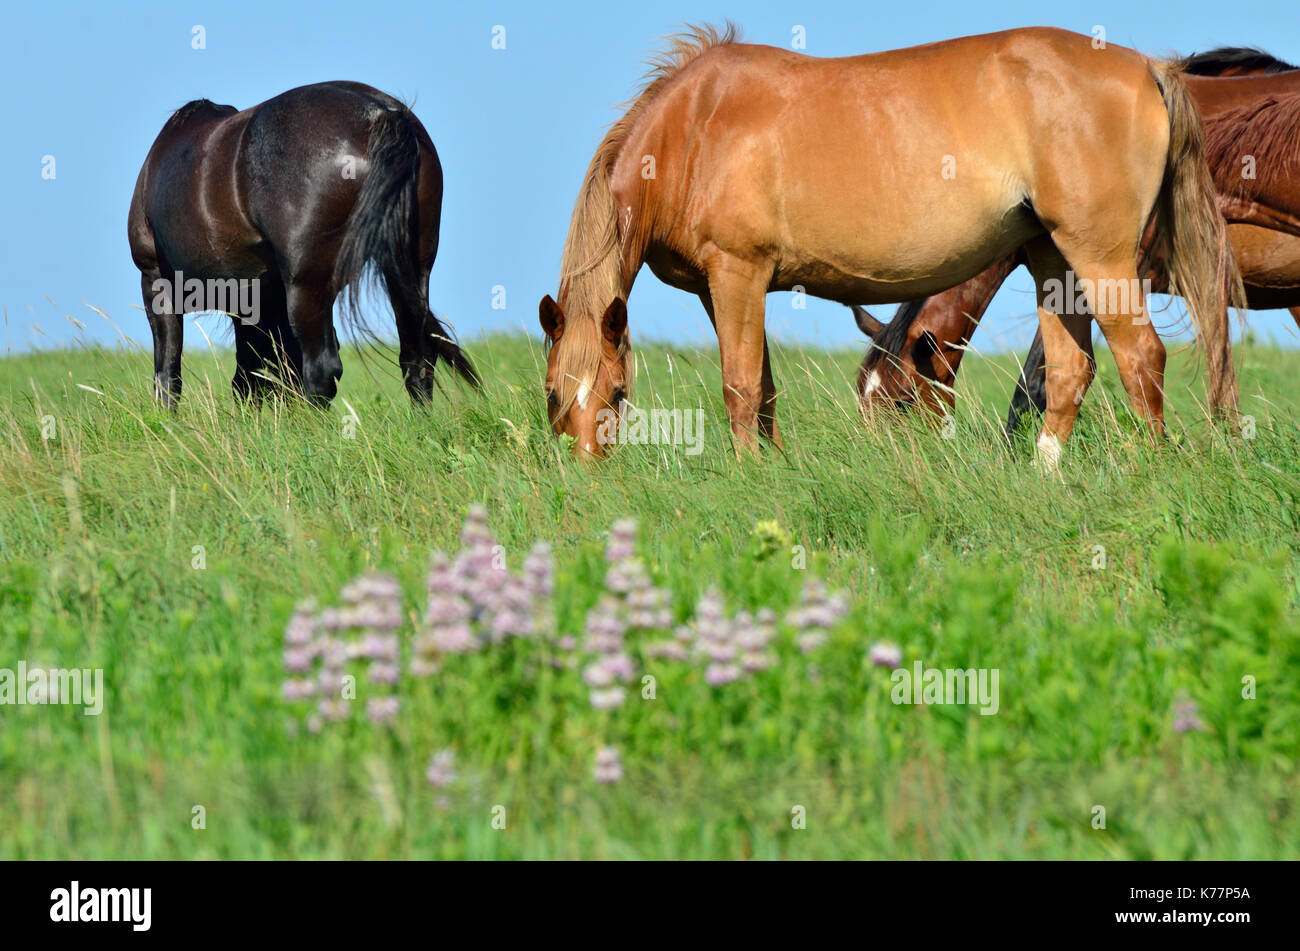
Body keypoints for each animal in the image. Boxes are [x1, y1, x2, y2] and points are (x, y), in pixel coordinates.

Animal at [128, 82, 478, 407]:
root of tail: (379, 114)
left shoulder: (156, 279)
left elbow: (170, 372)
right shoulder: (256, 297)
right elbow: (255, 372)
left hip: (306, 284)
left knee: (321, 369)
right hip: (410, 269)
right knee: (416, 359)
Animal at [535, 25, 1237, 465]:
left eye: (618, 393)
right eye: (551, 393)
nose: (587, 471)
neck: (695, 127)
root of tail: (1145, 66)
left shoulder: (738, 274)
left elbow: (737, 384)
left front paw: (745, 472)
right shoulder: (724, 289)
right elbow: (762, 386)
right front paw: (773, 471)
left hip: (1101, 259)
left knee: (1141, 358)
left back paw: (1147, 468)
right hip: (1053, 259)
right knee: (1071, 370)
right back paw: (1044, 475)